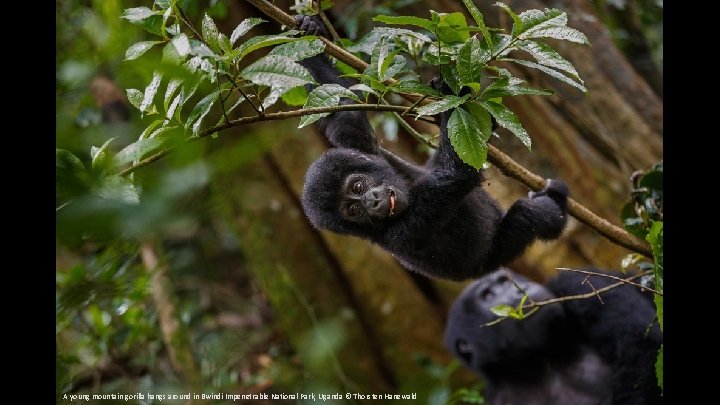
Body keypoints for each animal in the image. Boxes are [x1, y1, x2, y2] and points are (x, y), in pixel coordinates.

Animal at [296, 16, 568, 280]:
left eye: (358, 186)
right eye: (353, 210)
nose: (371, 201)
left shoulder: (359, 147)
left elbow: (342, 111)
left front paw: (308, 30)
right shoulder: (410, 229)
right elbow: (457, 175)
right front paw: (451, 93)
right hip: (495, 257)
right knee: (527, 216)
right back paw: (557, 209)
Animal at [444, 268, 664, 404]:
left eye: (504, 281)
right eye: (488, 295)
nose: (519, 291)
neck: (538, 363)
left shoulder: (575, 285)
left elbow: (640, 345)